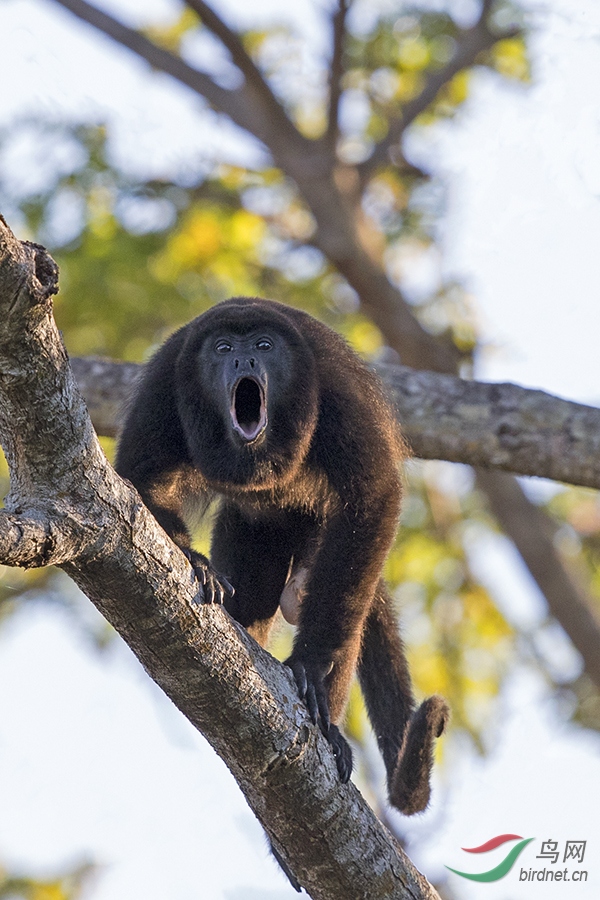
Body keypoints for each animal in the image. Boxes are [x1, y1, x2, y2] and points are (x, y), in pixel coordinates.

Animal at [115, 298, 448, 816]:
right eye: (223, 348)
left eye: (264, 345)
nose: (244, 360)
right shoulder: (167, 378)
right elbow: (141, 479)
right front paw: (195, 561)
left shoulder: (335, 386)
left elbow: (373, 497)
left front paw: (310, 664)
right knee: (253, 598)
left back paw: (330, 728)